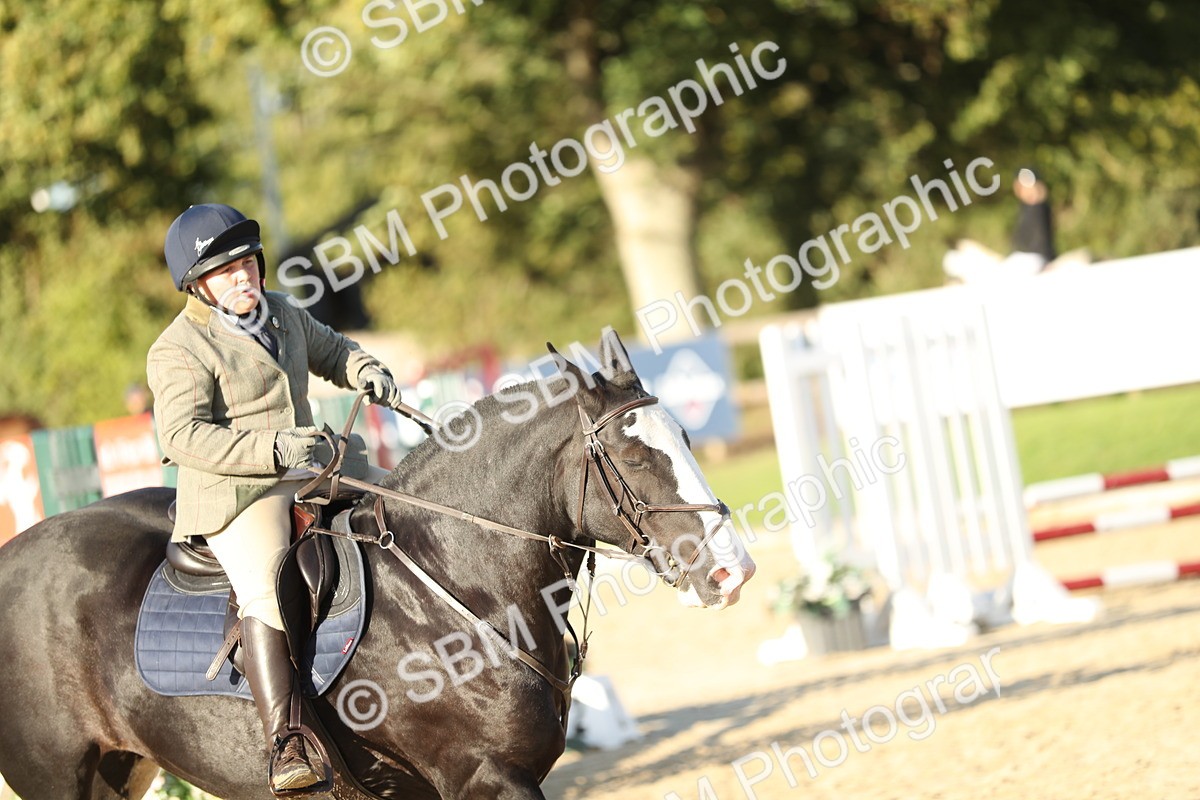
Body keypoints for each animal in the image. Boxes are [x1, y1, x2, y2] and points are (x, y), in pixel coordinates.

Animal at [0, 336, 756, 799]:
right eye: (633, 458)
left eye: (687, 437)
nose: (734, 571)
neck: (457, 586)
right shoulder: (485, 778)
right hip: (55, 776)